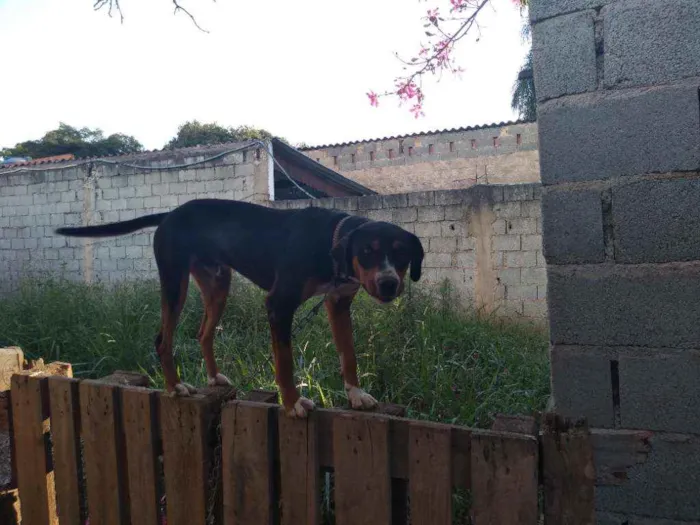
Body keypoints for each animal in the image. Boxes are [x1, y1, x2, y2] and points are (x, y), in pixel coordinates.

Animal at [54, 196, 424, 418]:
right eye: (367, 251)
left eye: (401, 253)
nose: (389, 283)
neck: (330, 241)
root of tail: (172, 213)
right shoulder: (278, 305)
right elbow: (285, 363)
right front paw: (292, 403)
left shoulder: (338, 304)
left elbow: (349, 354)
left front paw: (356, 394)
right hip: (175, 284)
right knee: (163, 340)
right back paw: (175, 387)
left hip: (218, 284)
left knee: (203, 333)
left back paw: (214, 377)